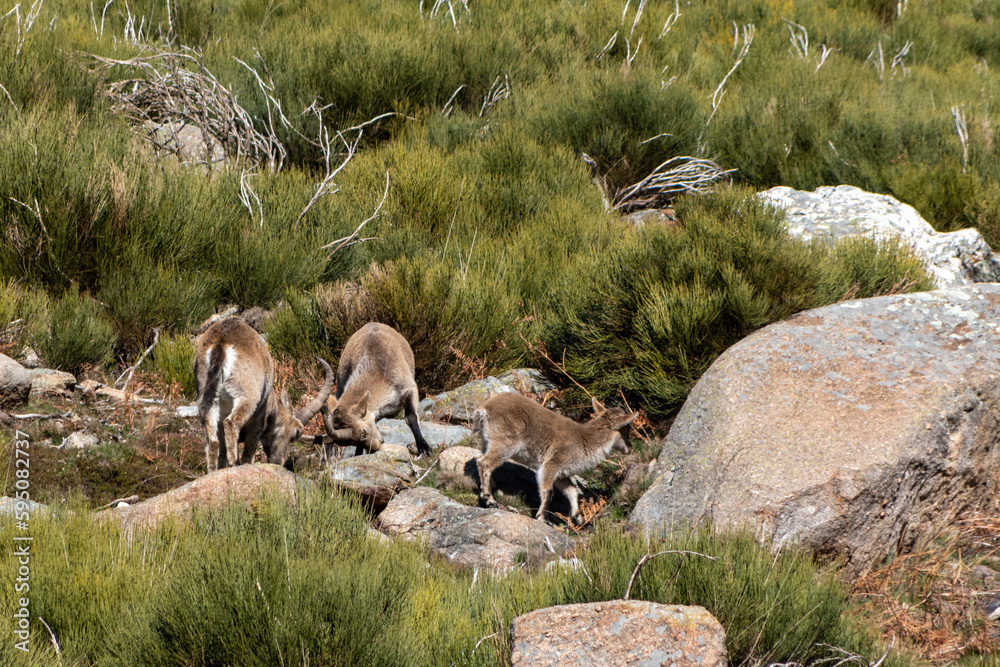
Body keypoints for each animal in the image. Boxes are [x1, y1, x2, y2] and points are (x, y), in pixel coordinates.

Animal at [194, 318, 333, 472]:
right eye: (295, 434)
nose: (278, 461)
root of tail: (220, 344)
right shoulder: (258, 420)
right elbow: (249, 452)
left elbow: (222, 454)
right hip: (247, 397)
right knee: (231, 422)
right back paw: (234, 463)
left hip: (207, 397)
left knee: (212, 440)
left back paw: (212, 471)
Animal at [321, 322, 431, 458]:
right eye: (351, 442)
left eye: (364, 431)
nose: (376, 447)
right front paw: (358, 454)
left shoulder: (409, 388)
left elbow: (411, 417)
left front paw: (423, 447)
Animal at [472, 393, 637, 525]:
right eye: (627, 428)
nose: (630, 447)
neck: (583, 441)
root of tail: (484, 409)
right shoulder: (551, 464)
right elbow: (548, 491)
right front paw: (543, 518)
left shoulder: (561, 473)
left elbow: (572, 491)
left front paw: (578, 518)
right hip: (505, 442)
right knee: (484, 463)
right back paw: (489, 499)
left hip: (487, 441)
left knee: (481, 458)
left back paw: (490, 487)